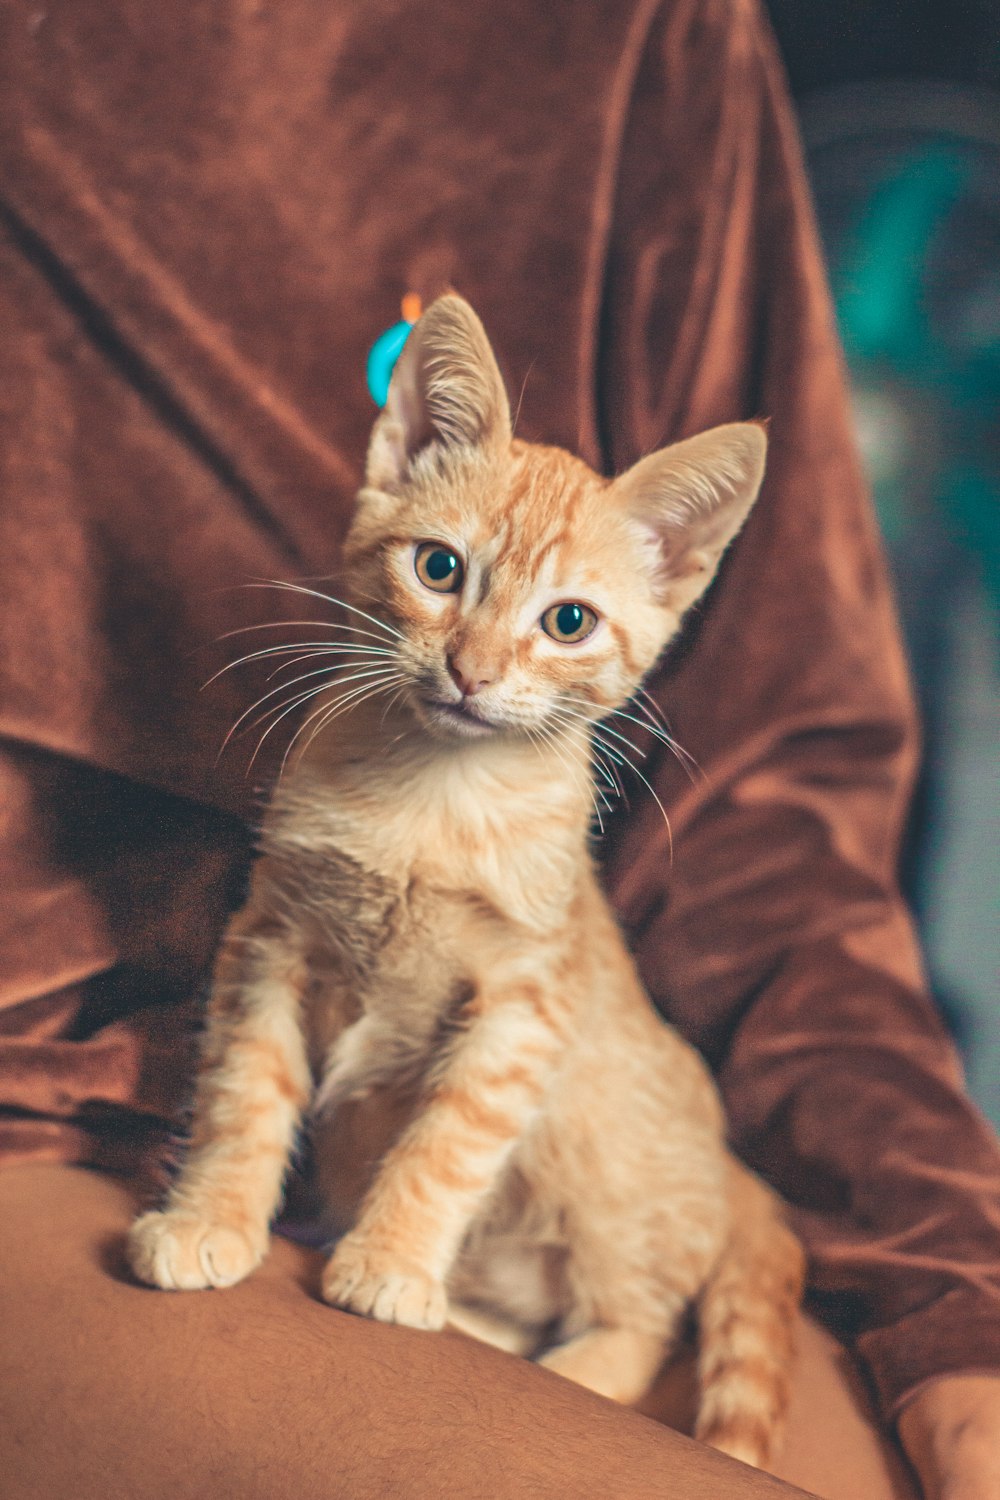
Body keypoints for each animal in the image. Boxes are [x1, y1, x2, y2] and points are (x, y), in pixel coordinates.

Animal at [131, 289, 803, 1464]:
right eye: (439, 570)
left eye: (568, 622)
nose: (471, 671)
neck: (432, 802)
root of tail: (735, 1173)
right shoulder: (270, 940)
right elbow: (242, 1095)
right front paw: (211, 1217)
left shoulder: (525, 1004)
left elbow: (445, 1142)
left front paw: (391, 1264)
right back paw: (472, 1323)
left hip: (607, 1178)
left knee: (636, 1327)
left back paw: (561, 1365)